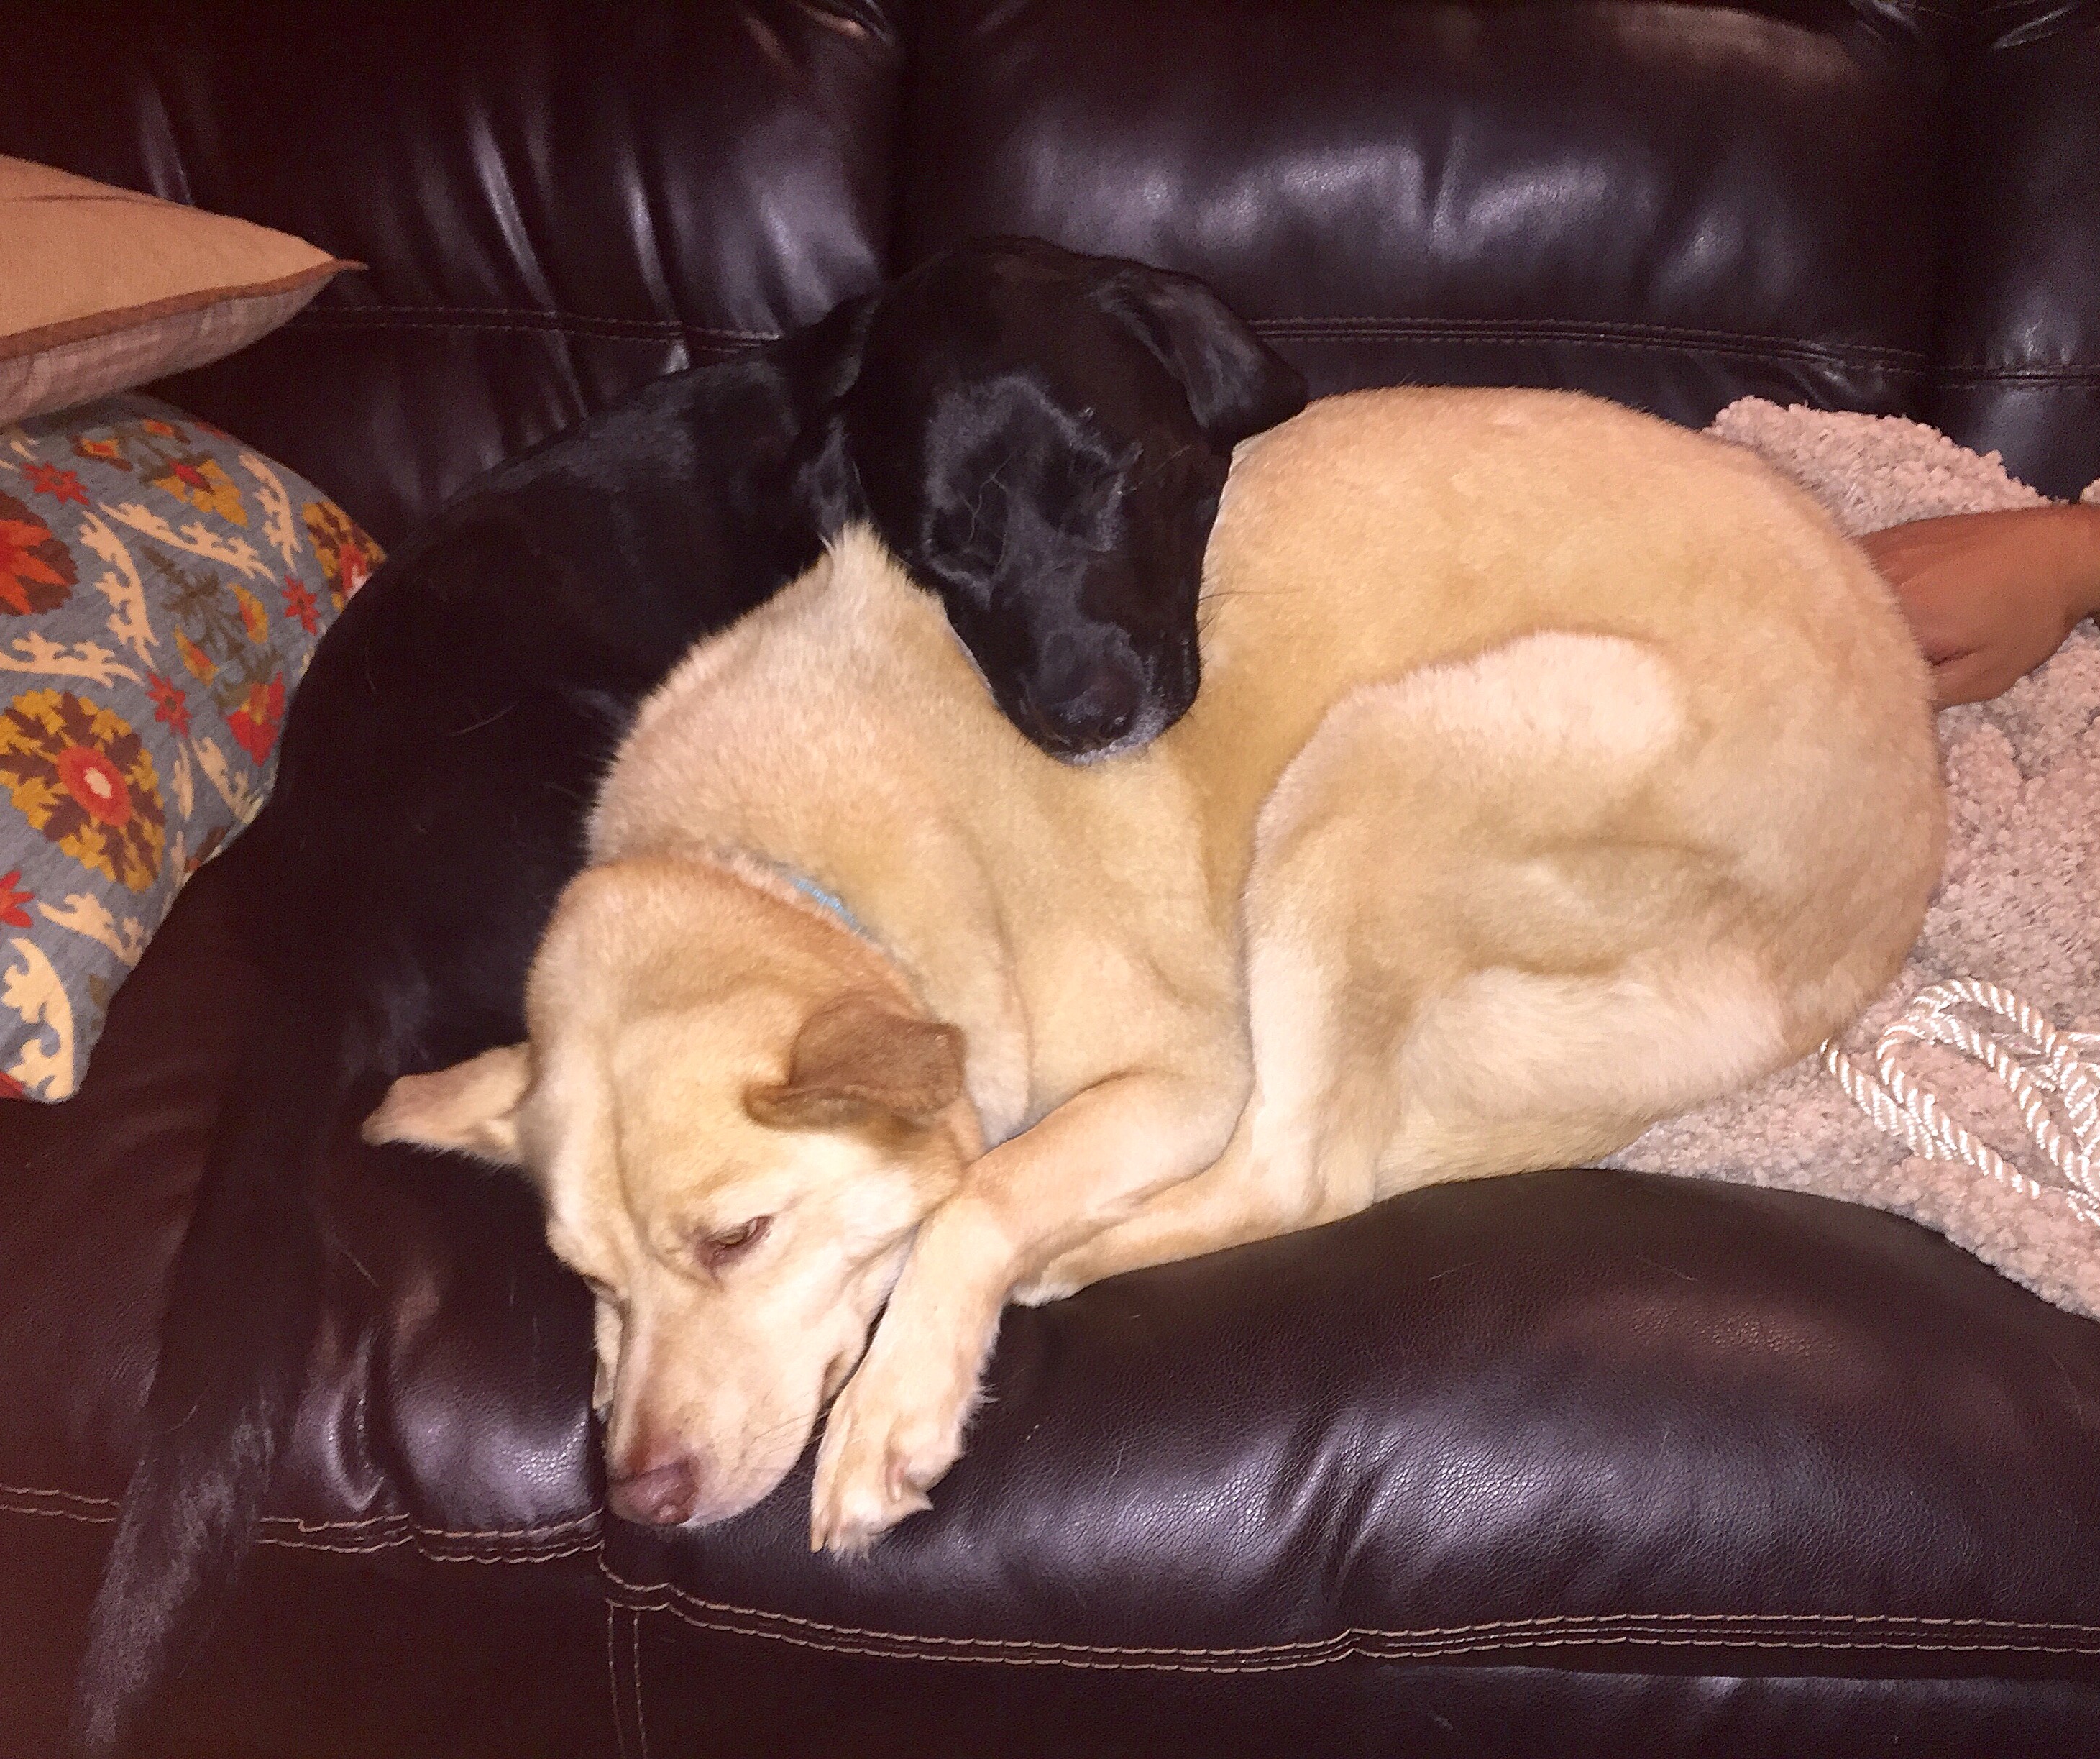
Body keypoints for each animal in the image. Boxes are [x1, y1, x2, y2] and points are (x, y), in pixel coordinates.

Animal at [371, 386, 1946, 1555]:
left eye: (736, 1237)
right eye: (587, 1278)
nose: (632, 1501)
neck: (783, 871)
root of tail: (1866, 912)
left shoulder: (1186, 1070)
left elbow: (978, 1194)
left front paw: (898, 1408)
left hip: (1377, 765)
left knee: (1303, 1174)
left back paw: (1083, 1254)